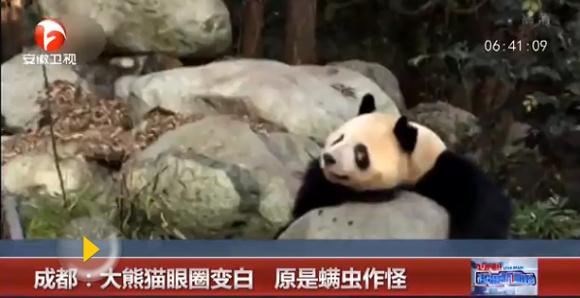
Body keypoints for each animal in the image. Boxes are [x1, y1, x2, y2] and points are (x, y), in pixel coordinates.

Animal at [280, 93, 512, 240]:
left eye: (360, 152)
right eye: (339, 138)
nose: (329, 158)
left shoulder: (441, 169)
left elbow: (484, 205)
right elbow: (308, 200)